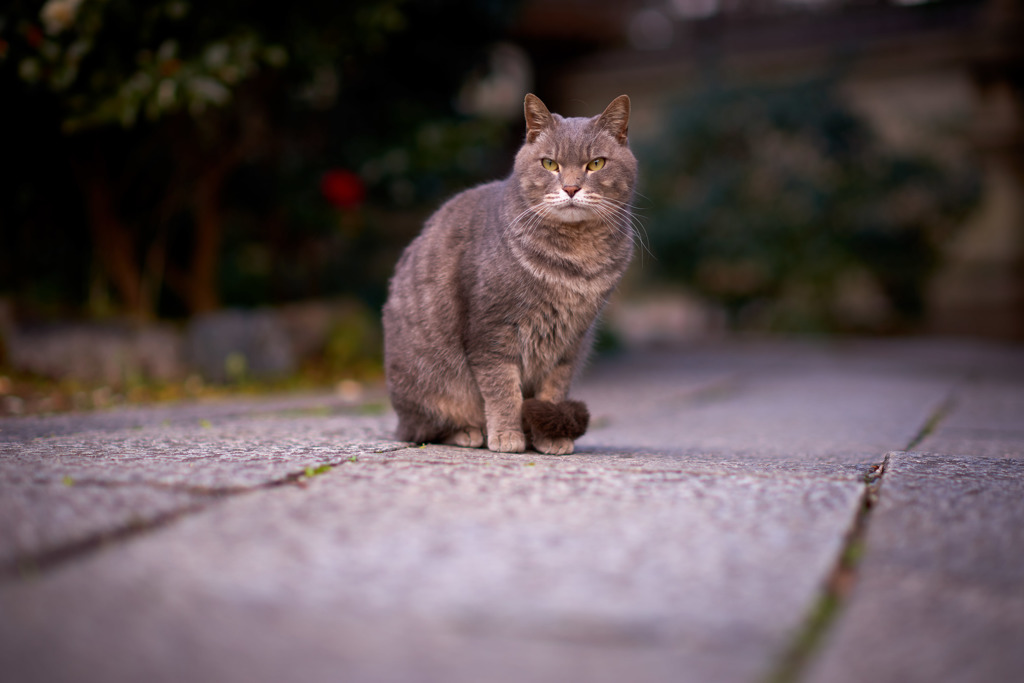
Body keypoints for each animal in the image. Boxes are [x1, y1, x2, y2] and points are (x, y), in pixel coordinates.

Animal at [385, 90, 634, 454]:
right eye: (550, 164)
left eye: (596, 163)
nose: (571, 188)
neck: (575, 260)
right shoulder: (491, 333)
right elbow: (502, 390)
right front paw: (507, 435)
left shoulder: (571, 342)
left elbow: (553, 391)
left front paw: (549, 435)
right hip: (429, 388)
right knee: (423, 429)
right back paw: (468, 433)